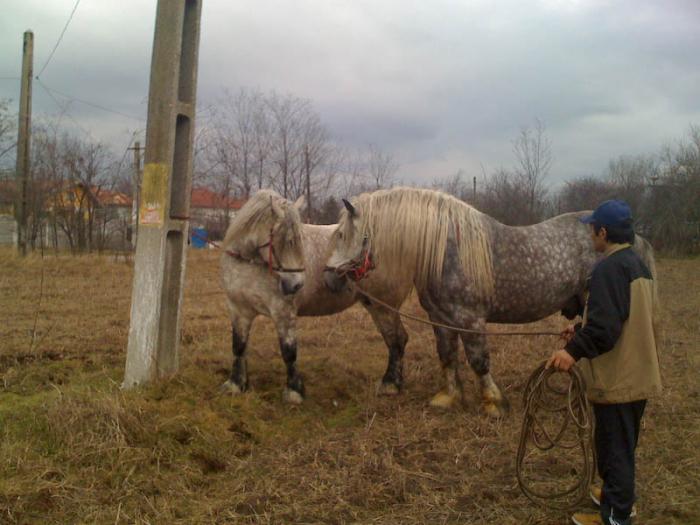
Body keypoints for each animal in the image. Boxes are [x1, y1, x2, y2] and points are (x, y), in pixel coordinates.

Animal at [322, 186, 656, 416]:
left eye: (344, 235)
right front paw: (449, 398)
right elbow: (447, 355)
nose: (328, 279)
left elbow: (479, 360)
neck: (447, 251)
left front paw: (494, 404)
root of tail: (634, 238)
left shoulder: (470, 319)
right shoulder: (440, 319)